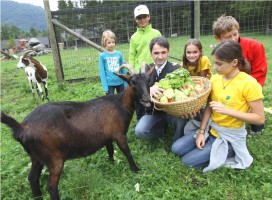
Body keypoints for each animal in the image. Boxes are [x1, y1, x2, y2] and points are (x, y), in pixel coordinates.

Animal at [1, 64, 155, 200]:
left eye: (149, 81)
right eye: (132, 82)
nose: (147, 99)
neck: (119, 104)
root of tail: (22, 126)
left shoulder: (107, 137)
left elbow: (110, 150)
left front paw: (111, 164)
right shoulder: (119, 134)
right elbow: (127, 152)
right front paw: (136, 170)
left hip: (36, 157)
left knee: (32, 178)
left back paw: (37, 197)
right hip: (54, 158)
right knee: (51, 186)